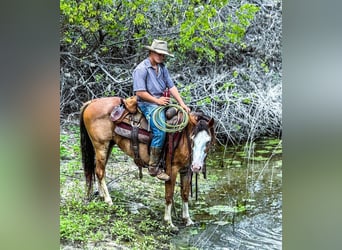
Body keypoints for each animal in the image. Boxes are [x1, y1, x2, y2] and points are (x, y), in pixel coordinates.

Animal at [79, 96, 215, 229]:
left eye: (208, 141)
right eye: (192, 139)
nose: (196, 167)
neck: (183, 137)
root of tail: (93, 101)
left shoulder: (186, 170)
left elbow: (185, 194)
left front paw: (187, 220)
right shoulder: (172, 169)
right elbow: (169, 195)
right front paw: (169, 222)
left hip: (109, 145)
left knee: (98, 169)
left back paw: (102, 196)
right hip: (101, 145)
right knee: (100, 171)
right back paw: (108, 201)